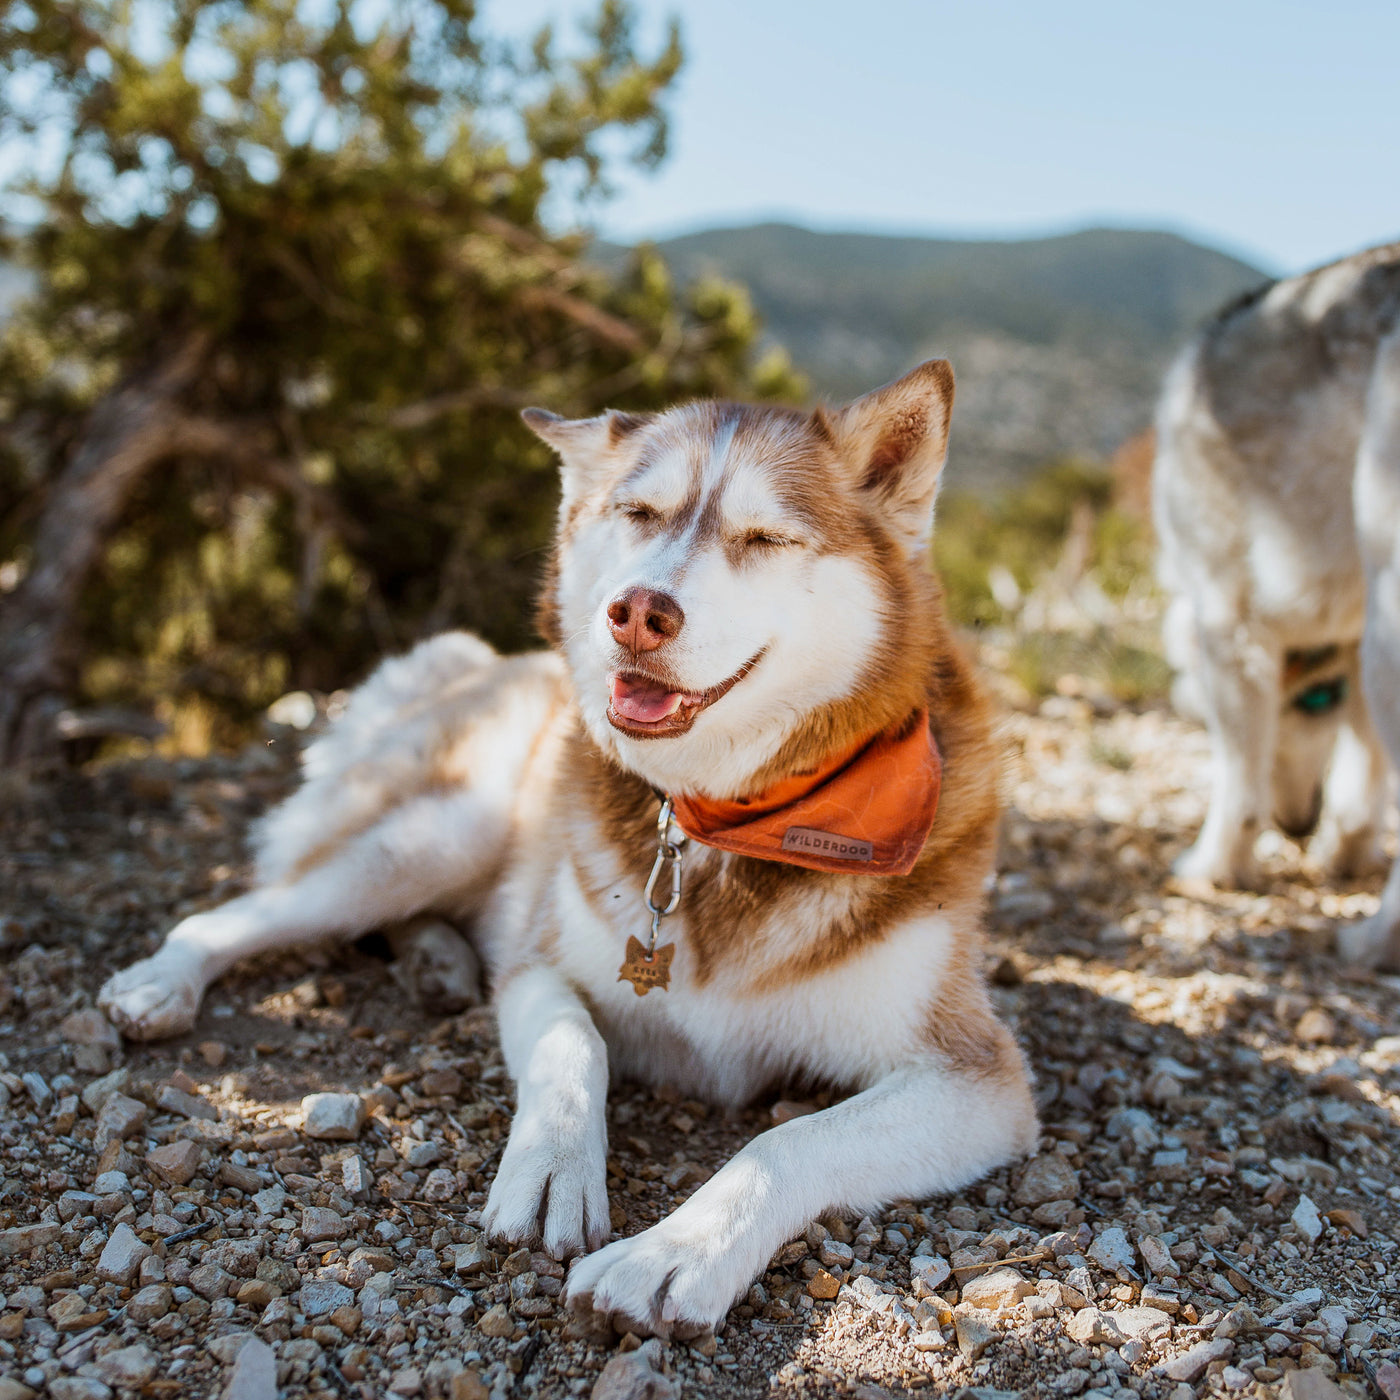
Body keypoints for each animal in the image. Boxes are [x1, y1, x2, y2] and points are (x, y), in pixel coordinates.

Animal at [1153, 240, 1400, 968]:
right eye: (1319, 703)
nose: (1297, 826)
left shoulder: (1229, 621)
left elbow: (1238, 788)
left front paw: (1215, 869)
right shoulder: (1354, 644)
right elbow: (1360, 791)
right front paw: (1345, 853)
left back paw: (1375, 942)